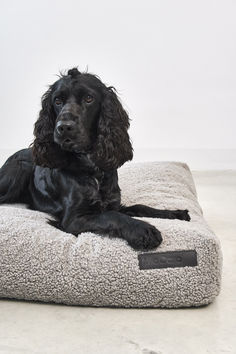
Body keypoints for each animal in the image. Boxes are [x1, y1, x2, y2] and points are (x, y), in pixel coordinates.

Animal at [0, 68, 190, 249]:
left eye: (89, 98)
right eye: (57, 101)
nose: (64, 128)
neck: (91, 166)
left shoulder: (114, 203)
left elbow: (139, 207)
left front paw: (175, 213)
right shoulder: (74, 219)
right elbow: (111, 216)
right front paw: (143, 230)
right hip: (19, 170)